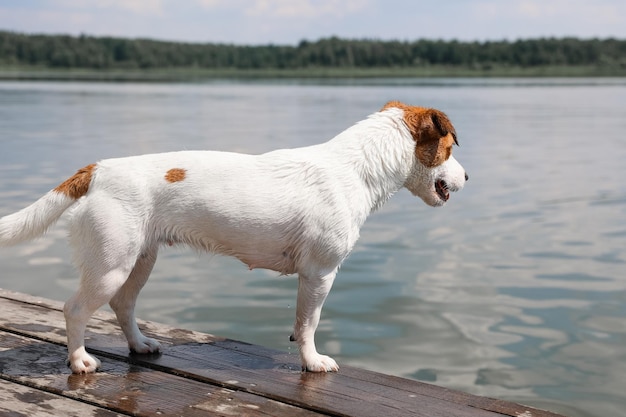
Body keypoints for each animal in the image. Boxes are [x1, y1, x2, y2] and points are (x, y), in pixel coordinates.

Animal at [0, 101, 466, 374]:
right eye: (448, 148)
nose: (467, 177)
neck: (357, 166)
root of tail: (97, 169)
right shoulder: (320, 274)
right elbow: (309, 324)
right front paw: (312, 362)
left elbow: (302, 324)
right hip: (110, 265)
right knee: (76, 309)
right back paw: (79, 360)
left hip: (139, 261)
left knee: (123, 305)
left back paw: (140, 345)